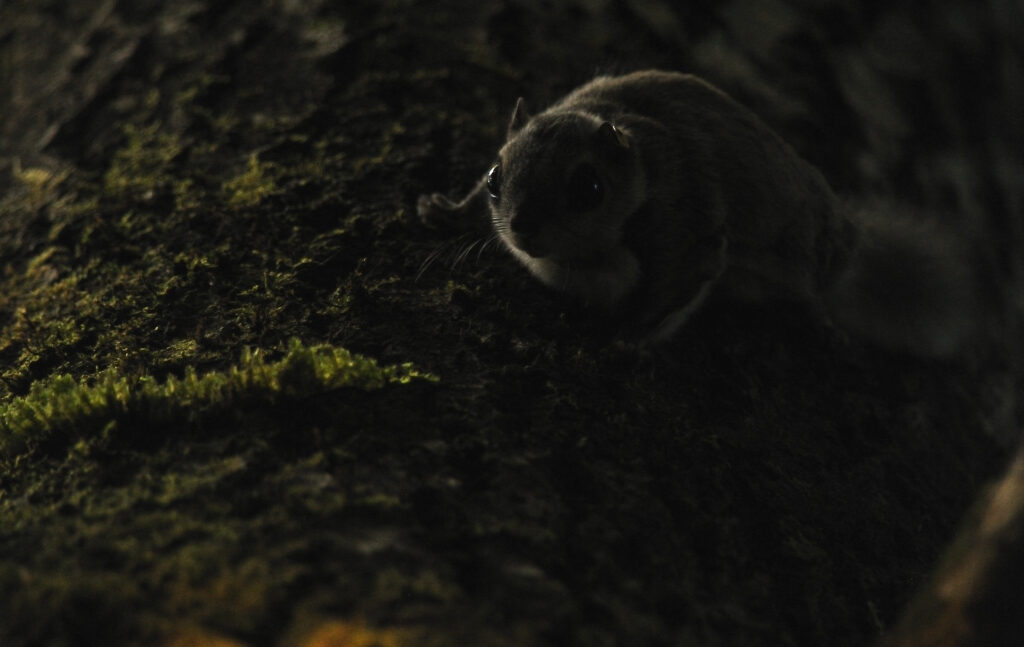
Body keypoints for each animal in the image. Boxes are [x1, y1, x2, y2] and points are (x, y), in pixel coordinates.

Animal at [418, 70, 980, 357]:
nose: (522, 228)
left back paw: (819, 320)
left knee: (810, 292)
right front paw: (447, 211)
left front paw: (631, 335)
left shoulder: (689, 228)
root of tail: (849, 239)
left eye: (589, 188)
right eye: (495, 177)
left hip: (801, 257)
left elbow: (677, 286)